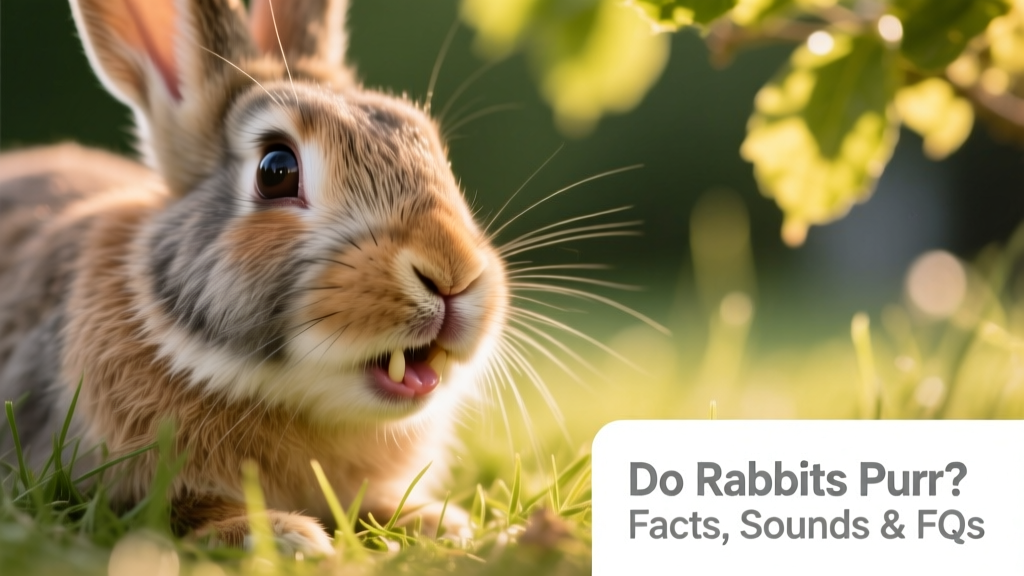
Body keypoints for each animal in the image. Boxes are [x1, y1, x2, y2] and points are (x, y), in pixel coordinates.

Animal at [0, 0, 508, 555]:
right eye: (276, 170)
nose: (453, 273)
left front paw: (443, 524)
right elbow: (173, 512)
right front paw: (284, 536)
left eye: (433, 147)